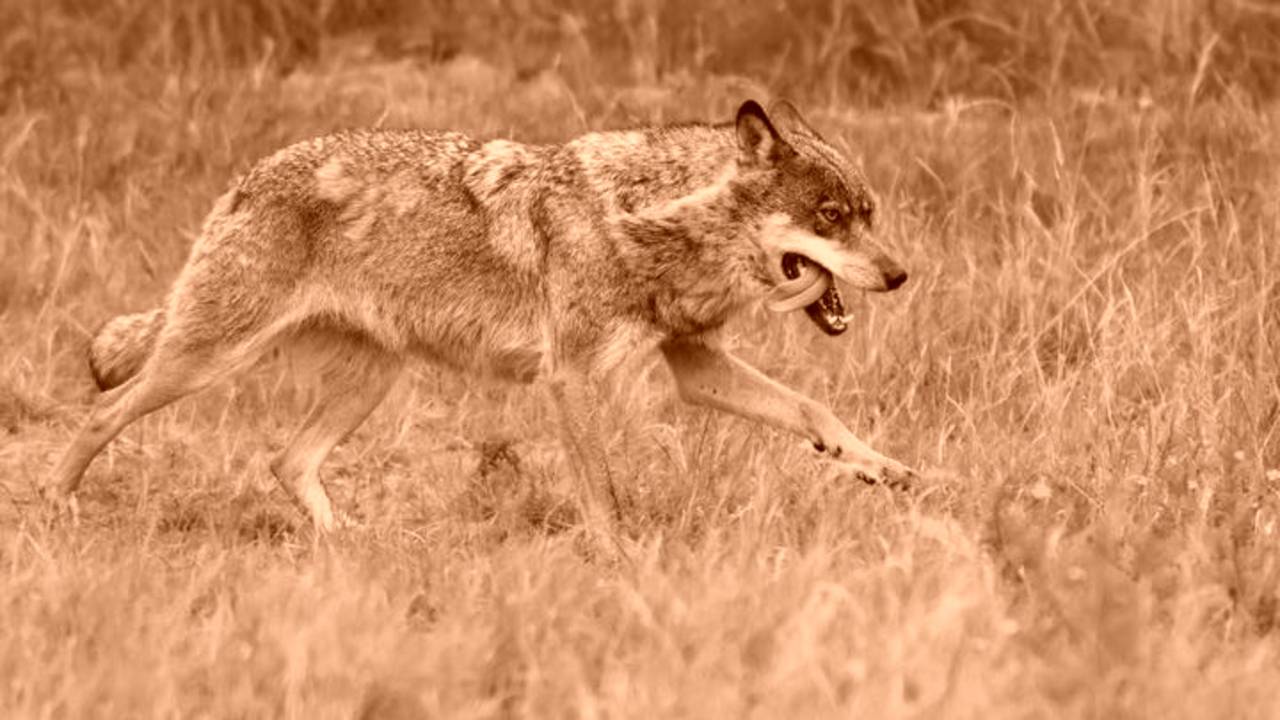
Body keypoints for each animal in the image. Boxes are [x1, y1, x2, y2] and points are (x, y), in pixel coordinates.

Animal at [46, 100, 915, 532]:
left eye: (868, 215)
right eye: (831, 217)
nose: (900, 275)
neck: (648, 217)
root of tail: (245, 178)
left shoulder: (691, 365)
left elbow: (815, 410)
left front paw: (883, 469)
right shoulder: (569, 379)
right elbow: (603, 495)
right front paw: (625, 566)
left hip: (372, 379)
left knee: (286, 462)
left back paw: (353, 545)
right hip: (207, 359)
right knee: (100, 412)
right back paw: (56, 505)